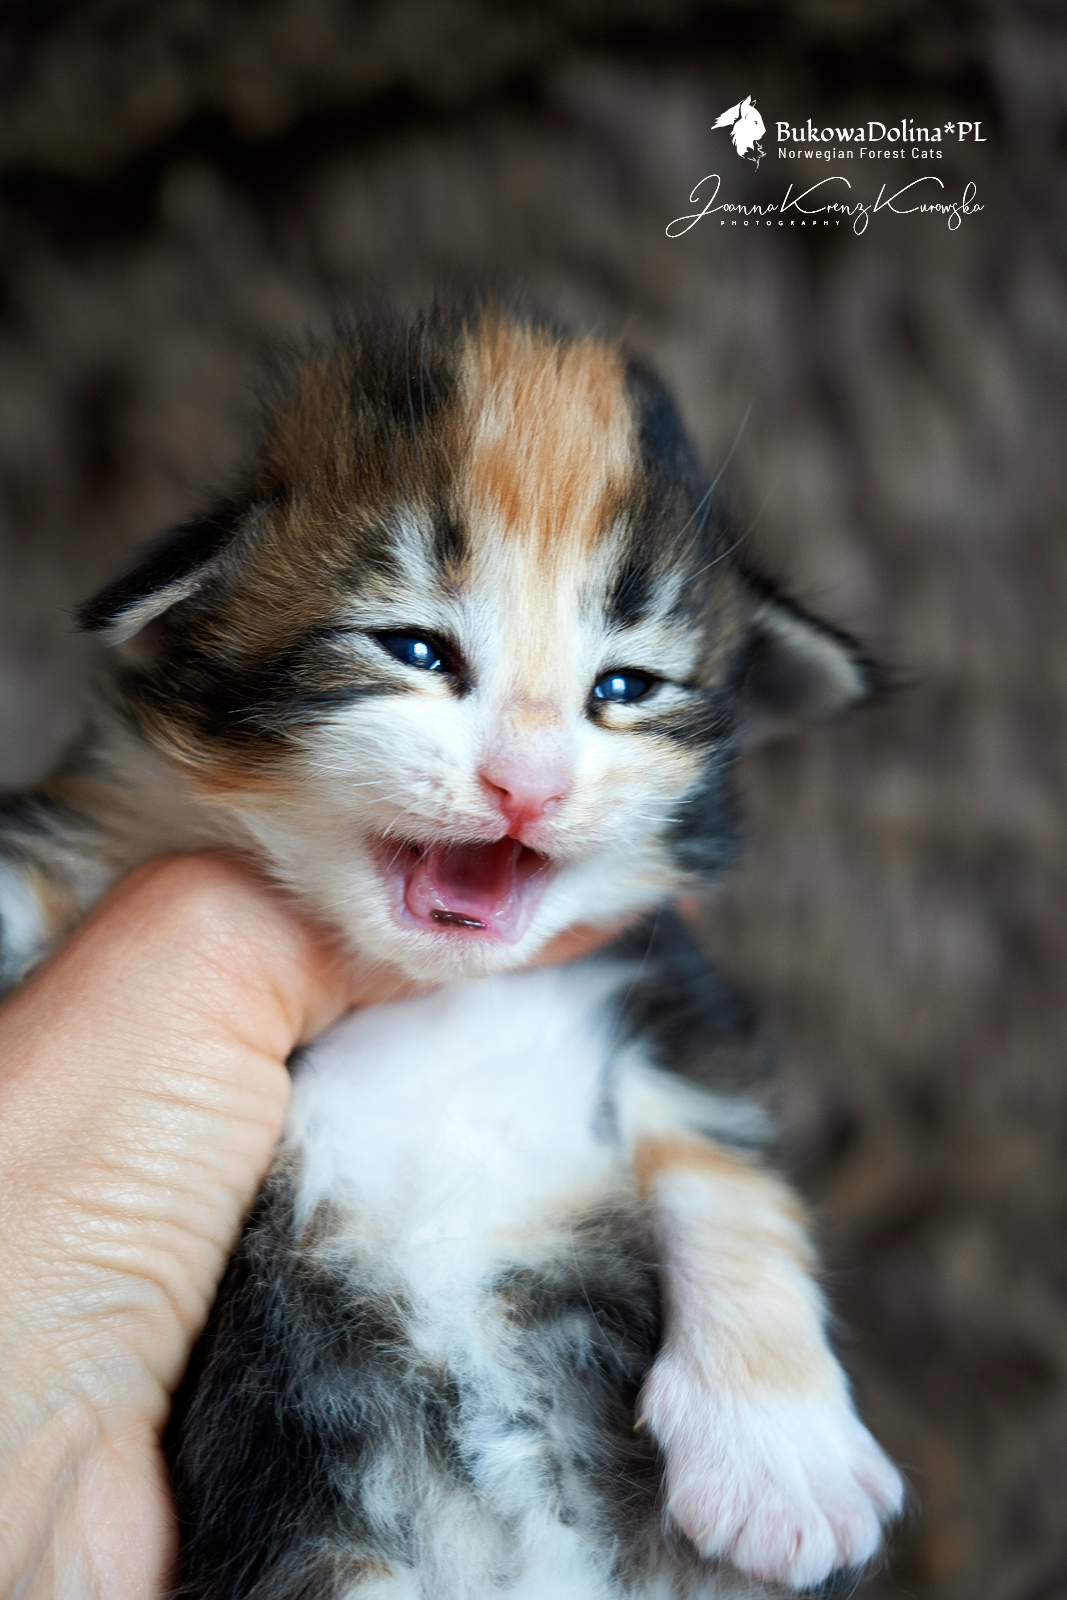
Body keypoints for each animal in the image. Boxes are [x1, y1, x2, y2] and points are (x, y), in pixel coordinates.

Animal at [0, 301, 903, 1599]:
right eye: (416, 650)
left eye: (621, 687)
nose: (526, 785)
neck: (436, 999)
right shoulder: (104, 830)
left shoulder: (665, 987)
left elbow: (727, 1171)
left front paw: (782, 1461)